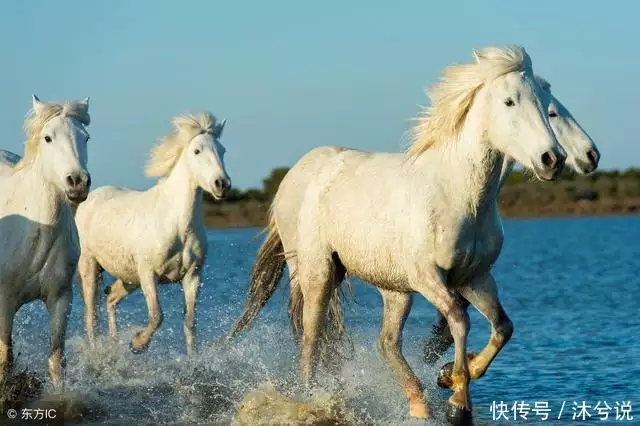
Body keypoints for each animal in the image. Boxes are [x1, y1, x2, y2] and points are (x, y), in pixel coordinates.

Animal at [0, 95, 91, 390]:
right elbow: (5, 359)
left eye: (86, 137)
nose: (77, 182)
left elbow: (56, 360)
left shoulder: (60, 297)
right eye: (48, 138)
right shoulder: (4, 300)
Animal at [75, 111, 230, 354]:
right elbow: (157, 316)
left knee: (110, 297)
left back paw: (113, 345)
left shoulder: (192, 276)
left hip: (128, 277)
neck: (178, 226)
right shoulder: (148, 274)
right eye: (197, 151)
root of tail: (88, 200)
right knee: (90, 316)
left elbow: (190, 323)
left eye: (222, 150)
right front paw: (138, 344)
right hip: (90, 265)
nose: (222, 184)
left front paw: (193, 358)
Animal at [226, 45, 564, 424]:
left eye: (545, 104)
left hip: (394, 289)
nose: (553, 160)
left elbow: (503, 327)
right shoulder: (427, 277)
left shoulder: (475, 277)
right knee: (310, 340)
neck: (458, 194)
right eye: (509, 101)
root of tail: (296, 175)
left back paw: (418, 404)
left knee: (386, 343)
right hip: (319, 272)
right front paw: (457, 404)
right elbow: (459, 320)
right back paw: (310, 399)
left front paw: (447, 377)